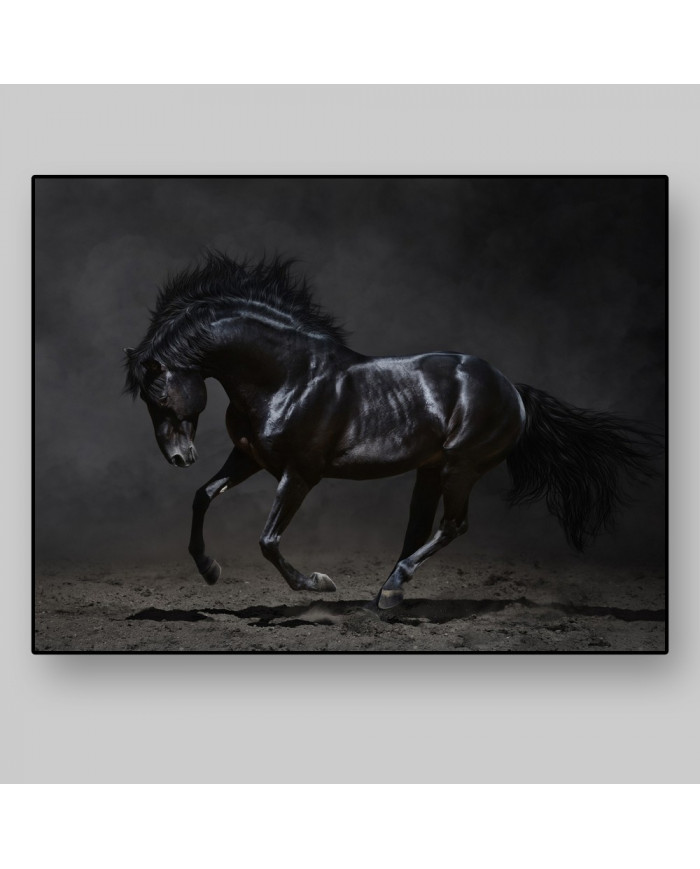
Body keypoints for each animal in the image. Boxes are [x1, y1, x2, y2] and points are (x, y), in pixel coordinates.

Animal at [124, 252, 659, 609]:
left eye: (159, 394)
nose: (179, 457)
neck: (288, 376)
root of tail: (513, 390)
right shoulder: (250, 458)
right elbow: (203, 496)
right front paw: (210, 570)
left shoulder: (299, 474)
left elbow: (268, 540)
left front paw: (318, 583)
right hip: (431, 469)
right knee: (419, 528)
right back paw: (385, 596)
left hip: (462, 467)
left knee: (452, 526)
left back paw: (393, 590)